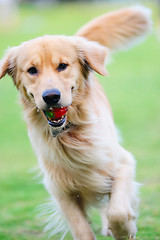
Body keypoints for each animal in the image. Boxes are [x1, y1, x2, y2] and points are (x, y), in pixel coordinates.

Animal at [0, 5, 151, 240]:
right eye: (32, 70)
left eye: (63, 65)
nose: (51, 96)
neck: (70, 133)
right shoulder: (59, 188)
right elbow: (81, 228)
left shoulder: (122, 162)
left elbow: (117, 211)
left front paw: (125, 230)